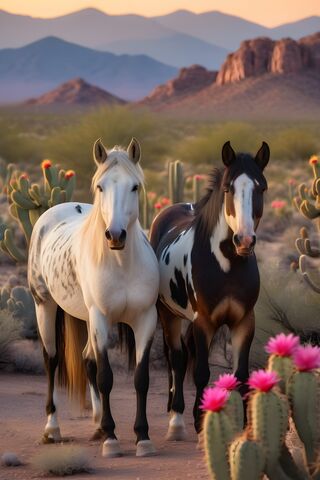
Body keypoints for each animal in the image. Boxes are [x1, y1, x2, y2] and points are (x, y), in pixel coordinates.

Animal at [28, 138, 160, 458]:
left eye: (135, 187)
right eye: (101, 186)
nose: (115, 235)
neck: (123, 265)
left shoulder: (145, 320)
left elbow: (140, 378)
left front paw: (142, 437)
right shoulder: (101, 319)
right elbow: (105, 377)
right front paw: (112, 440)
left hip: (86, 317)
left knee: (87, 358)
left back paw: (99, 423)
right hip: (45, 306)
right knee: (51, 360)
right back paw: (52, 429)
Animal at [149, 140, 268, 438]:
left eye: (261, 187)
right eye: (228, 189)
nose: (244, 240)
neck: (227, 267)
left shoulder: (243, 322)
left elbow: (241, 375)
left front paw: (244, 426)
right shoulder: (204, 322)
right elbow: (201, 372)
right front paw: (200, 421)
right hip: (168, 314)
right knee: (177, 358)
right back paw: (176, 417)